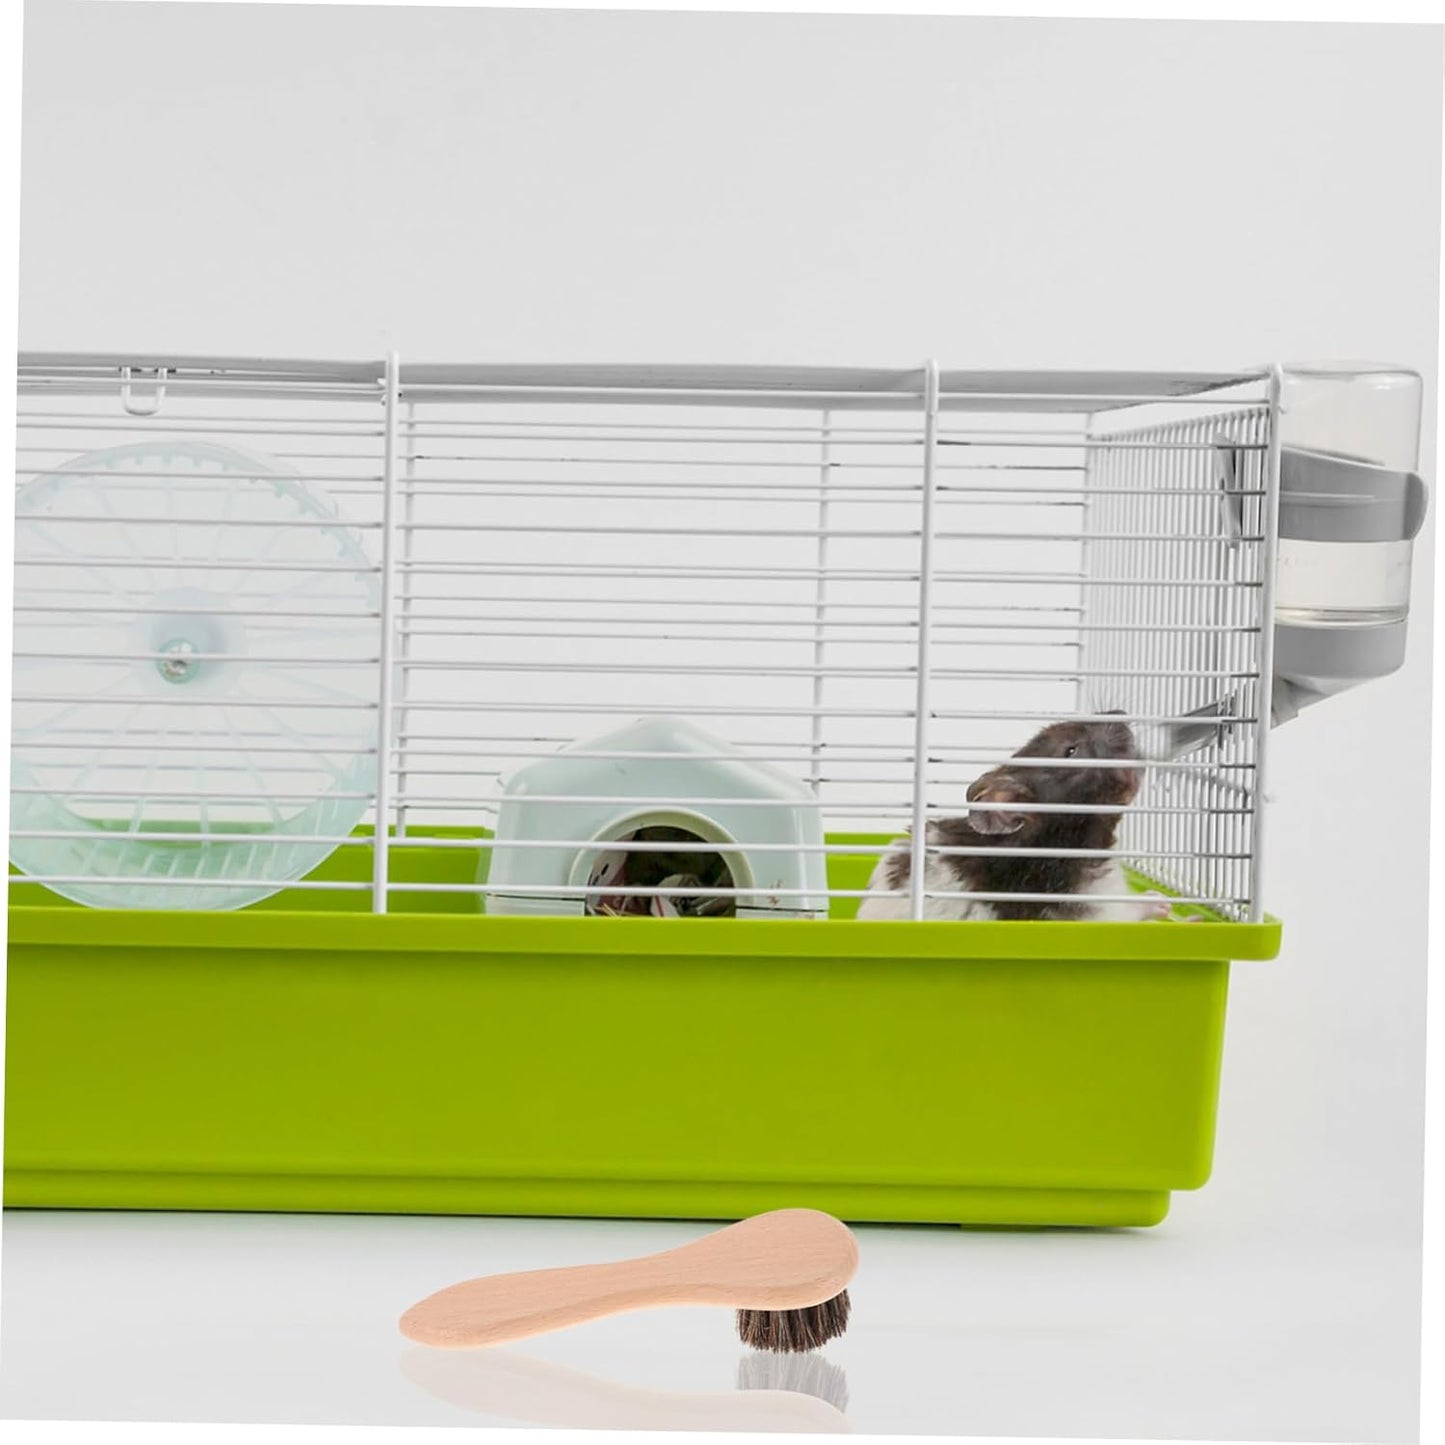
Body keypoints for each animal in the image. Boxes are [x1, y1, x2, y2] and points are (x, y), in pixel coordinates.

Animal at [856, 715, 1170, 922]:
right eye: (1070, 751)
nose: (1121, 714)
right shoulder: (1096, 908)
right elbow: (1127, 911)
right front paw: (1162, 902)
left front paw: (1161, 901)